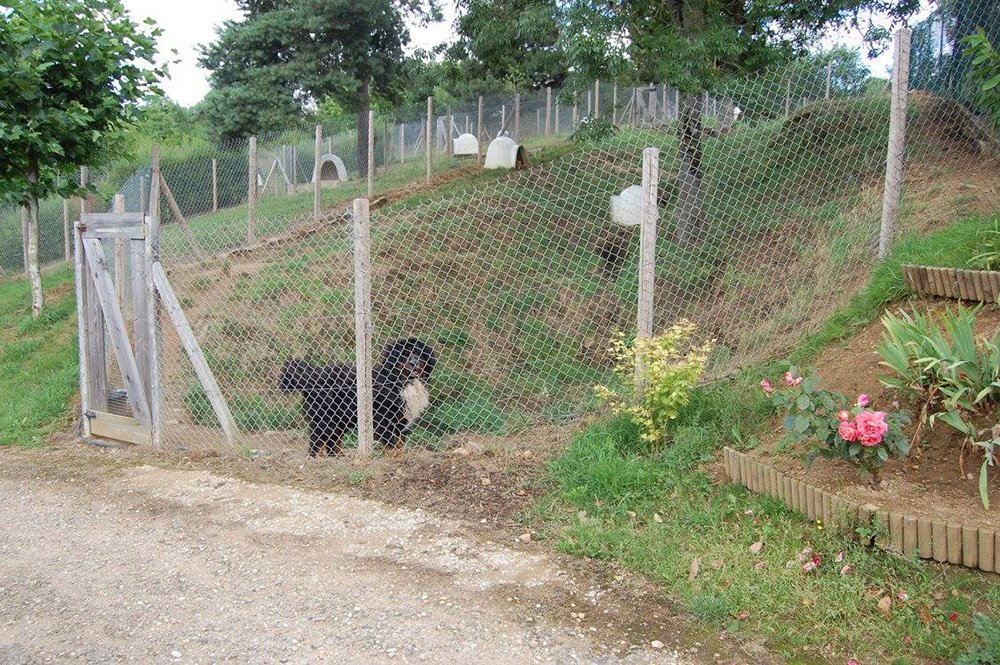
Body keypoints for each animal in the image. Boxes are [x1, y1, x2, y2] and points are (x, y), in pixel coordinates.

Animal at [282, 338, 438, 456]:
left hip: (340, 419)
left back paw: (339, 457)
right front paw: (393, 455)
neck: (401, 381)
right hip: (325, 418)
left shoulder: (401, 419)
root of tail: (313, 376)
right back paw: (318, 458)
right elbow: (391, 442)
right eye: (404, 354)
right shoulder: (384, 418)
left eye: (418, 353)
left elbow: (399, 442)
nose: (413, 362)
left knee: (333, 441)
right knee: (317, 441)